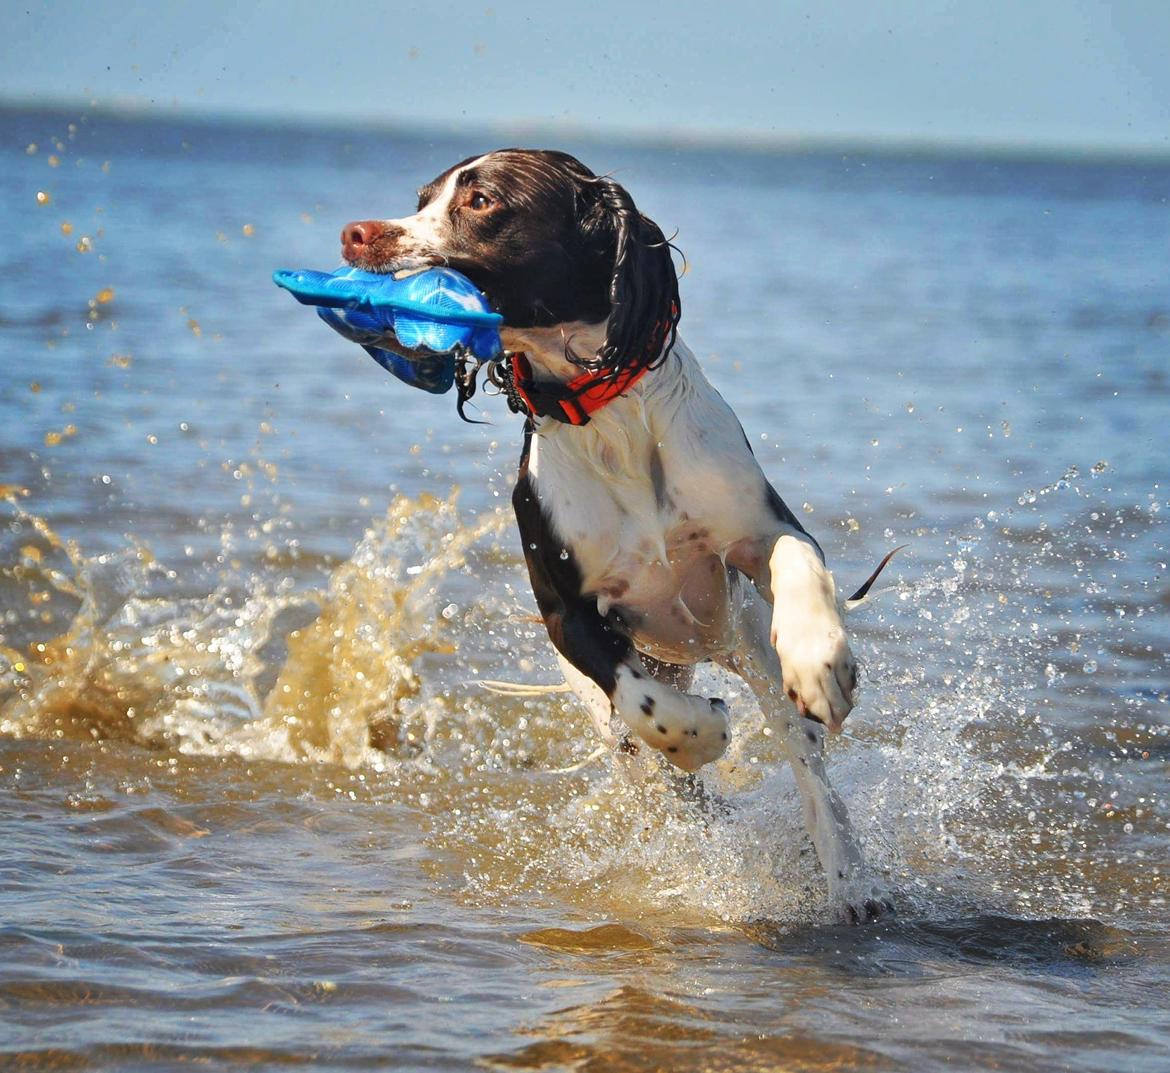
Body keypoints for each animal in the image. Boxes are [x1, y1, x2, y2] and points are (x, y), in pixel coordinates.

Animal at [341, 148, 889, 922]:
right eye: (421, 199)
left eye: (480, 201)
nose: (355, 235)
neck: (611, 419)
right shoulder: (564, 611)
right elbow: (640, 699)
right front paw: (702, 731)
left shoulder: (760, 530)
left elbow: (797, 565)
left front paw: (821, 658)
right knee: (656, 766)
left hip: (748, 642)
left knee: (809, 768)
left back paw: (847, 878)